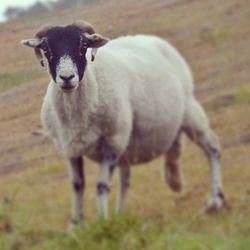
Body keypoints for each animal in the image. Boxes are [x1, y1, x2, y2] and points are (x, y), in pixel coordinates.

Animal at [21, 21, 225, 229]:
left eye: (83, 45)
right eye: (46, 48)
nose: (67, 77)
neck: (77, 116)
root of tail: (154, 39)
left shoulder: (112, 142)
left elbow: (102, 186)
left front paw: (103, 223)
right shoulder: (70, 148)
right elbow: (78, 185)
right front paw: (75, 226)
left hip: (188, 111)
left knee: (213, 147)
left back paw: (216, 200)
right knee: (125, 178)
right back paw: (121, 214)